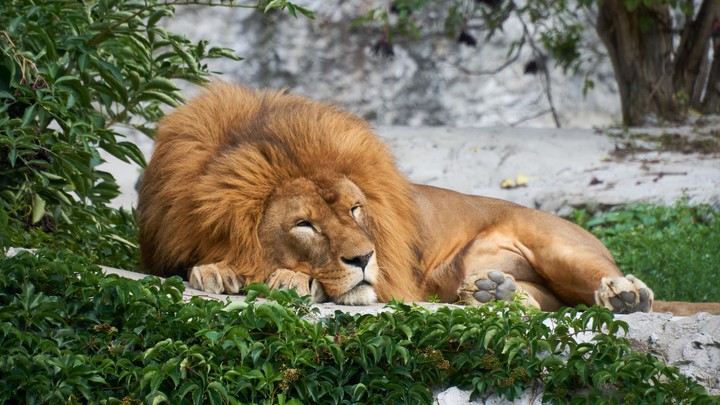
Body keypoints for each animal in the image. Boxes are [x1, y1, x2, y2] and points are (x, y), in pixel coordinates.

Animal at [137, 83, 720, 315]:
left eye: (355, 210)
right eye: (305, 224)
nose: (364, 258)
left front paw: (288, 278)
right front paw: (215, 270)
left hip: (561, 247)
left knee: (603, 283)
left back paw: (624, 295)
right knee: (537, 303)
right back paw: (493, 294)